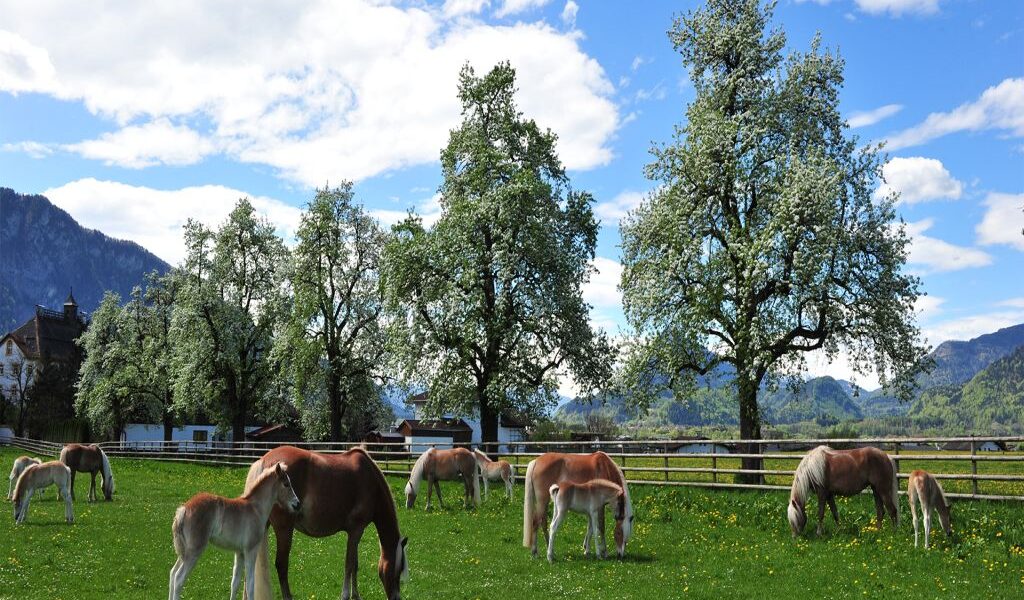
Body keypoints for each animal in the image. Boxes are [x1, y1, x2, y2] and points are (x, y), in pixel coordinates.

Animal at [169, 463, 300, 600]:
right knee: (178, 578)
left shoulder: (239, 552)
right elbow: (250, 584)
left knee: (172, 573)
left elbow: (235, 583)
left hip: (184, 552)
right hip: (194, 550)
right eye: (286, 484)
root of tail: (183, 509)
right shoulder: (250, 550)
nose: (297, 504)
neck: (256, 508)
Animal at [248, 446, 410, 600]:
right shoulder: (356, 530)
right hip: (284, 529)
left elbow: (355, 564)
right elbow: (349, 564)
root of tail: (264, 460)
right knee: (281, 564)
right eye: (399, 569)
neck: (371, 483)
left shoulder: (356, 532)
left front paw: (356, 595)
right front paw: (346, 595)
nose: (396, 597)